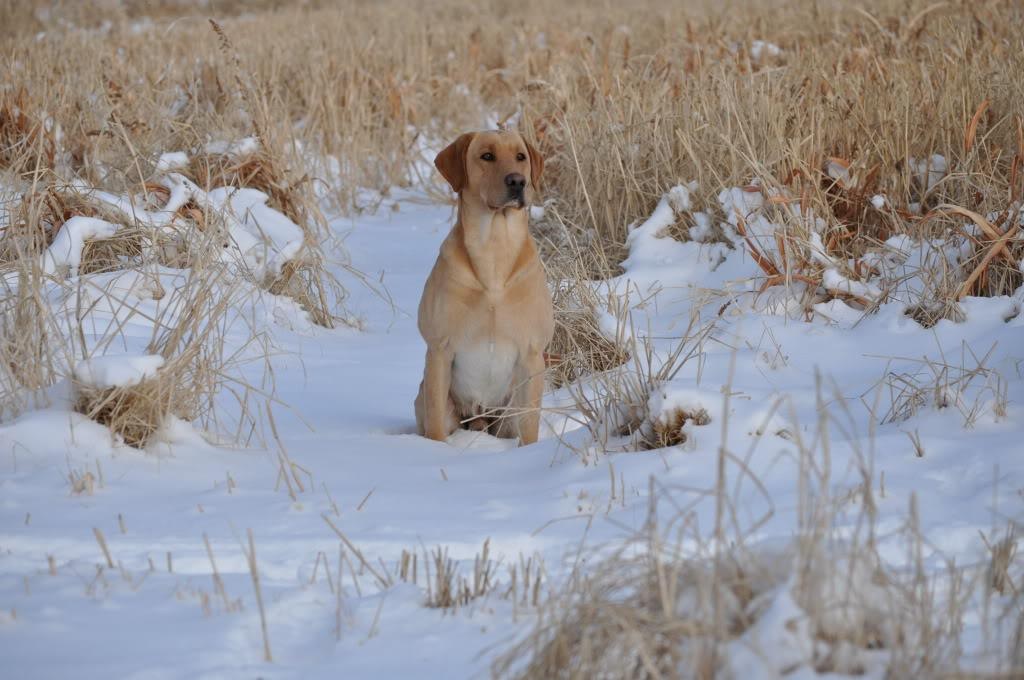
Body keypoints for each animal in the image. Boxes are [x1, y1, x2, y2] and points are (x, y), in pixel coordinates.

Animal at [413, 130, 552, 446]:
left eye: (520, 157)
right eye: (487, 156)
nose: (517, 181)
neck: (494, 251)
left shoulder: (531, 354)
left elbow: (530, 426)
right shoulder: (439, 349)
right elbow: (435, 423)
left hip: (509, 411)